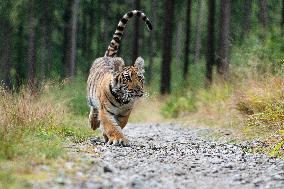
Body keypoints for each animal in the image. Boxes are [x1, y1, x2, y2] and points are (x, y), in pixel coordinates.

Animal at [87, 10, 152, 146]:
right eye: (128, 78)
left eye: (140, 78)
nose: (138, 90)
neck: (123, 100)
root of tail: (108, 57)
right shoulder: (105, 111)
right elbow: (111, 125)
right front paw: (118, 139)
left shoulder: (125, 113)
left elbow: (119, 125)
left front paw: (108, 136)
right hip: (91, 97)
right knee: (93, 109)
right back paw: (93, 123)